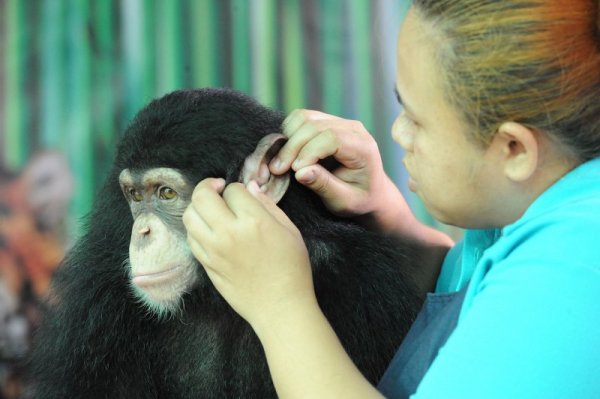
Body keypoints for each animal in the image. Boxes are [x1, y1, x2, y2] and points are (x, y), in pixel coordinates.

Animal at [28, 89, 442, 398]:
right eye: (134, 195)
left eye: (165, 193)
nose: (142, 231)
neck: (214, 297)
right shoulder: (98, 296)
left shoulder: (363, 282)